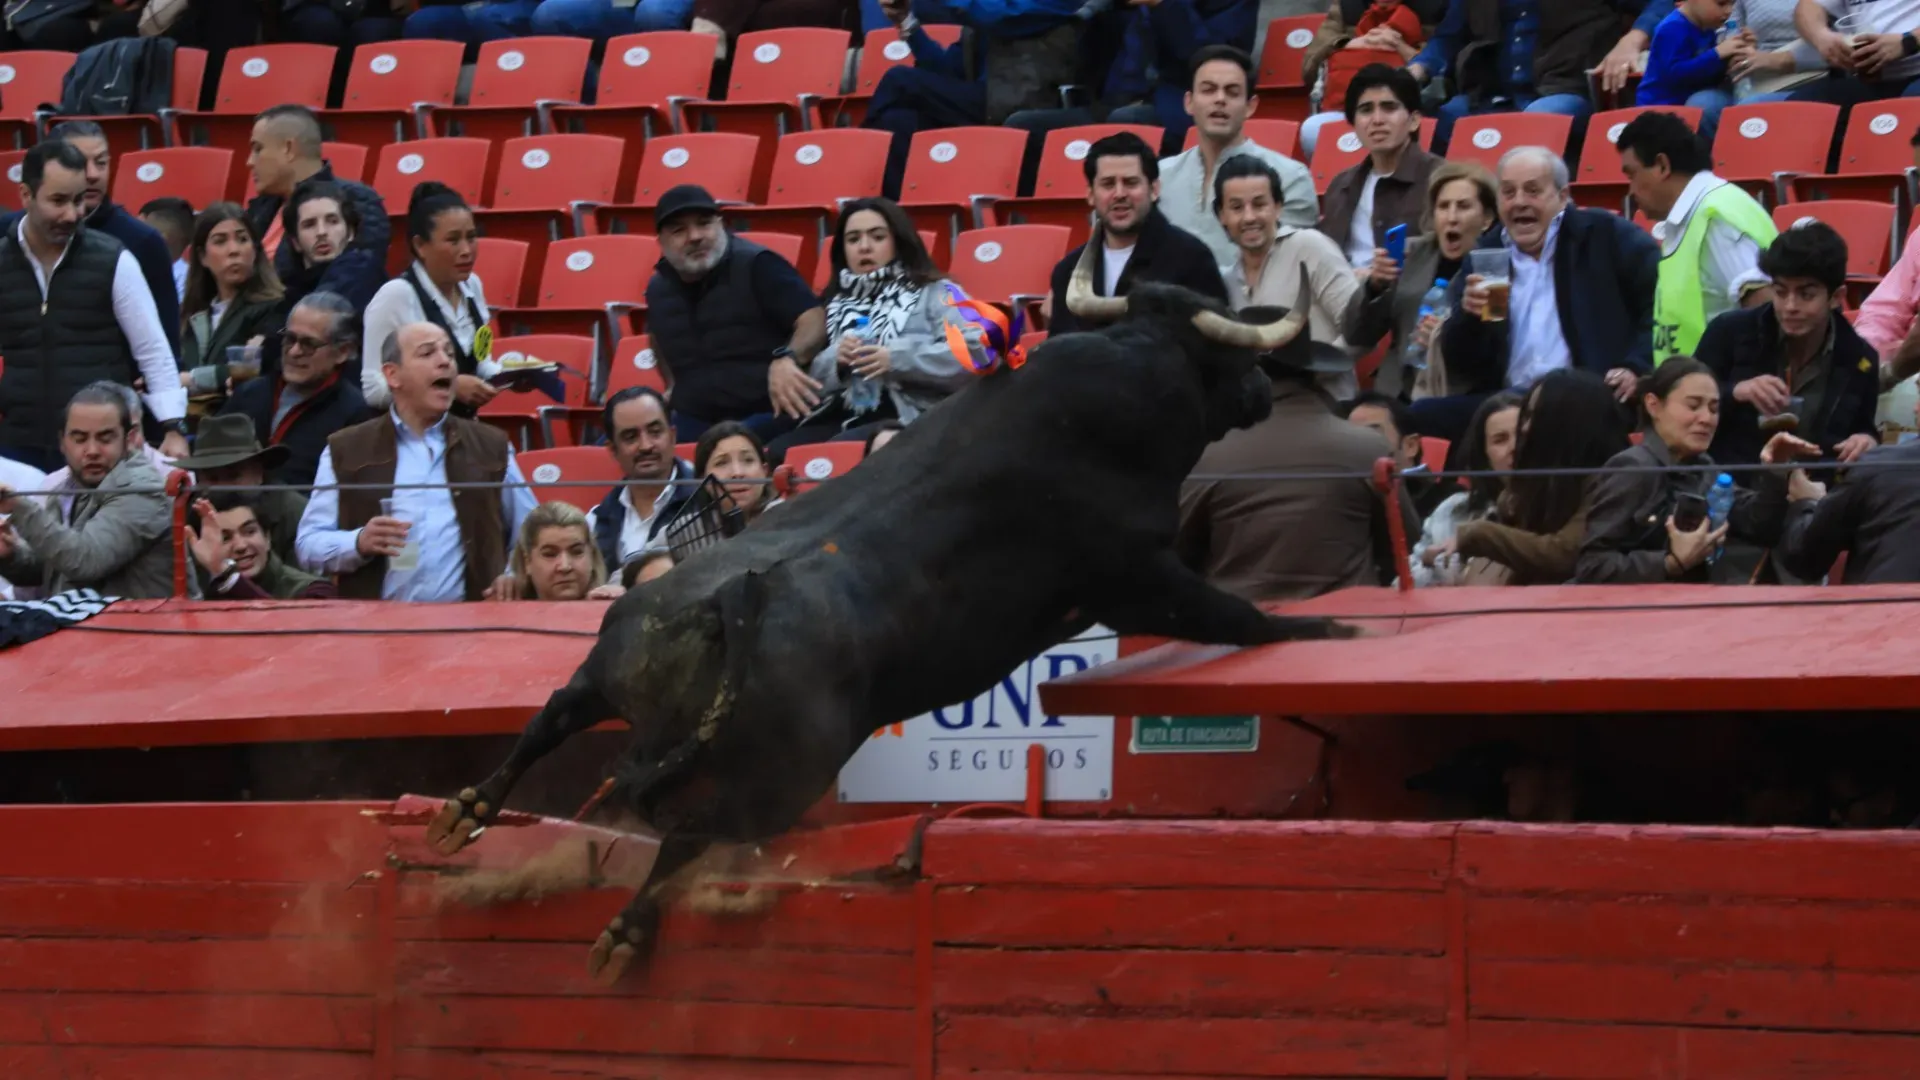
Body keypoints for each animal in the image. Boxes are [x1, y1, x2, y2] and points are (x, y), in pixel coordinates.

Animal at [424, 274, 1351, 976]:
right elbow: (1236, 614)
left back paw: (466, 812)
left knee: (552, 719)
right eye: (1233, 352)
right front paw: (1329, 634)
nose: (1267, 390)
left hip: (610, 668)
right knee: (694, 830)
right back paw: (624, 930)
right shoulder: (1134, 575)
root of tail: (728, 603)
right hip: (785, 775)